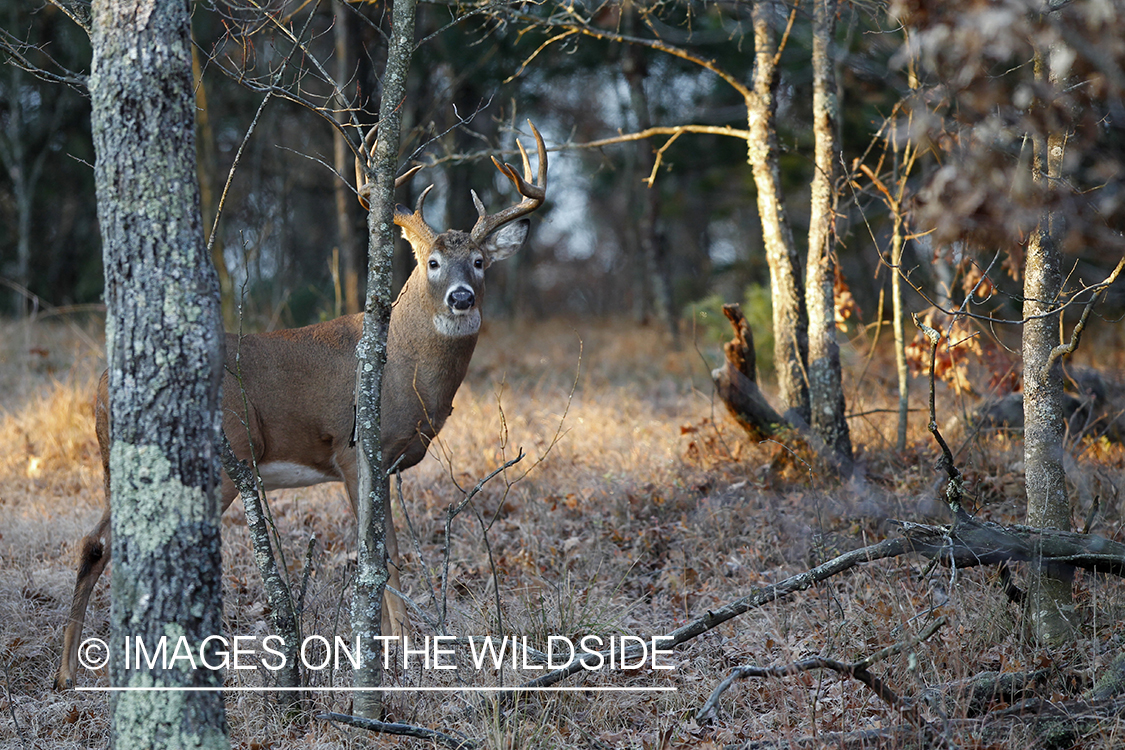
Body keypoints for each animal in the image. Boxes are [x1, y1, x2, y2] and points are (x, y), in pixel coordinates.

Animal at [57, 120, 549, 688]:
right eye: (432, 262)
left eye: (479, 261)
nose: (462, 297)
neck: (404, 367)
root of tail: (101, 385)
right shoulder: (356, 450)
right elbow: (381, 554)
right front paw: (400, 652)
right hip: (220, 460)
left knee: (93, 541)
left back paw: (67, 672)